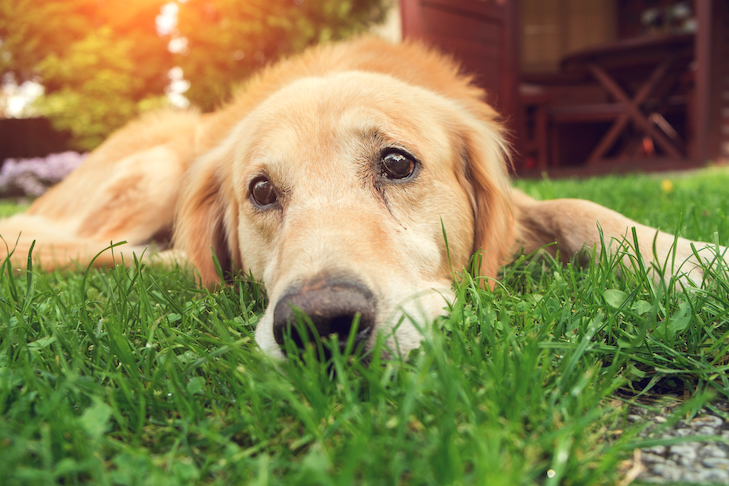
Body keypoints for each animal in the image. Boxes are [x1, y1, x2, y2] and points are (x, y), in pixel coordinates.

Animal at [0, 38, 724, 358]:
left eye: (397, 163)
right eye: (261, 190)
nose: (322, 325)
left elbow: (583, 210)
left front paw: (691, 258)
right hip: (156, 167)